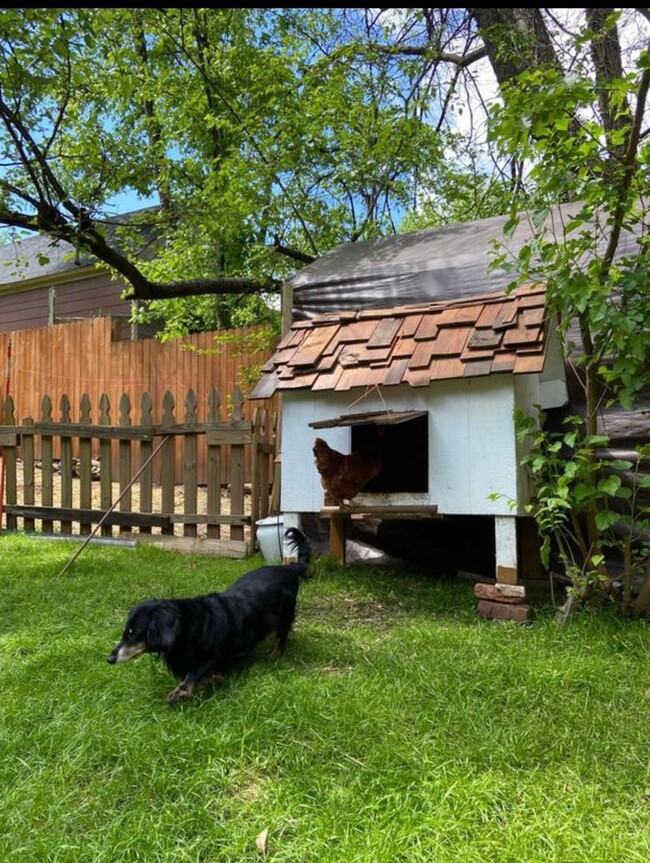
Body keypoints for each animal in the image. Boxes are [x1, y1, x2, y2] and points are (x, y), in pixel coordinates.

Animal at [106, 528, 308, 704]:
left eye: (133, 633)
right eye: (126, 631)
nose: (109, 659)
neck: (189, 626)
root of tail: (290, 568)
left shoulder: (214, 655)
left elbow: (195, 673)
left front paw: (181, 692)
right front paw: (213, 680)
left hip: (284, 614)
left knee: (282, 635)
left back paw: (274, 655)